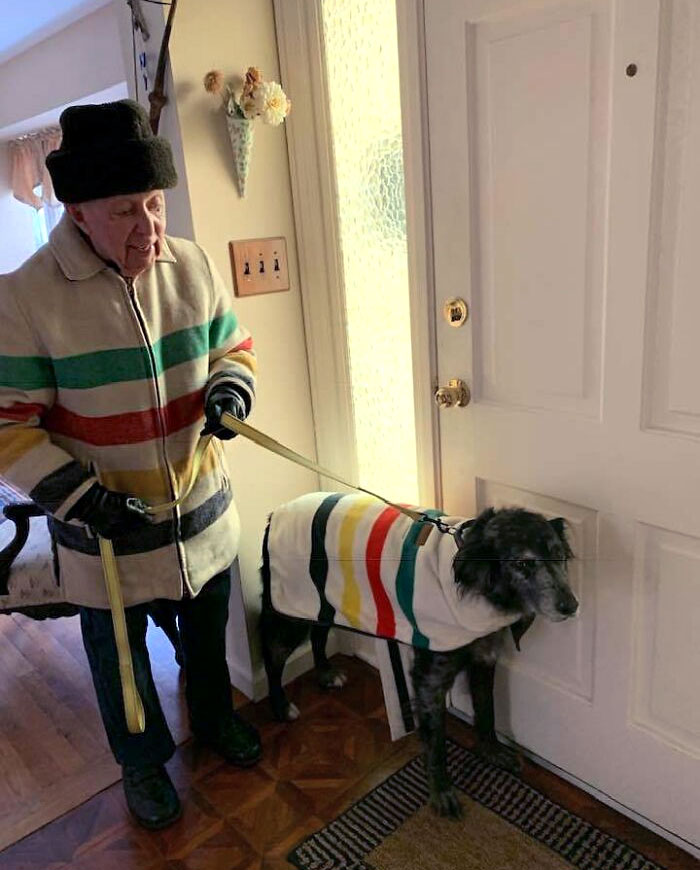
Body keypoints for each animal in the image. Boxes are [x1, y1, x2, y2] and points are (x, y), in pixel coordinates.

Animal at [260, 500, 576, 820]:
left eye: (560, 556)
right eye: (523, 563)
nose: (571, 606)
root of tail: (277, 513)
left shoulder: (483, 658)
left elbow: (486, 712)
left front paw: (492, 751)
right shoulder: (429, 681)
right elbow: (436, 743)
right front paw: (441, 793)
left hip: (322, 603)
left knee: (318, 635)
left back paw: (325, 673)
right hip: (290, 614)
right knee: (272, 658)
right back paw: (281, 706)